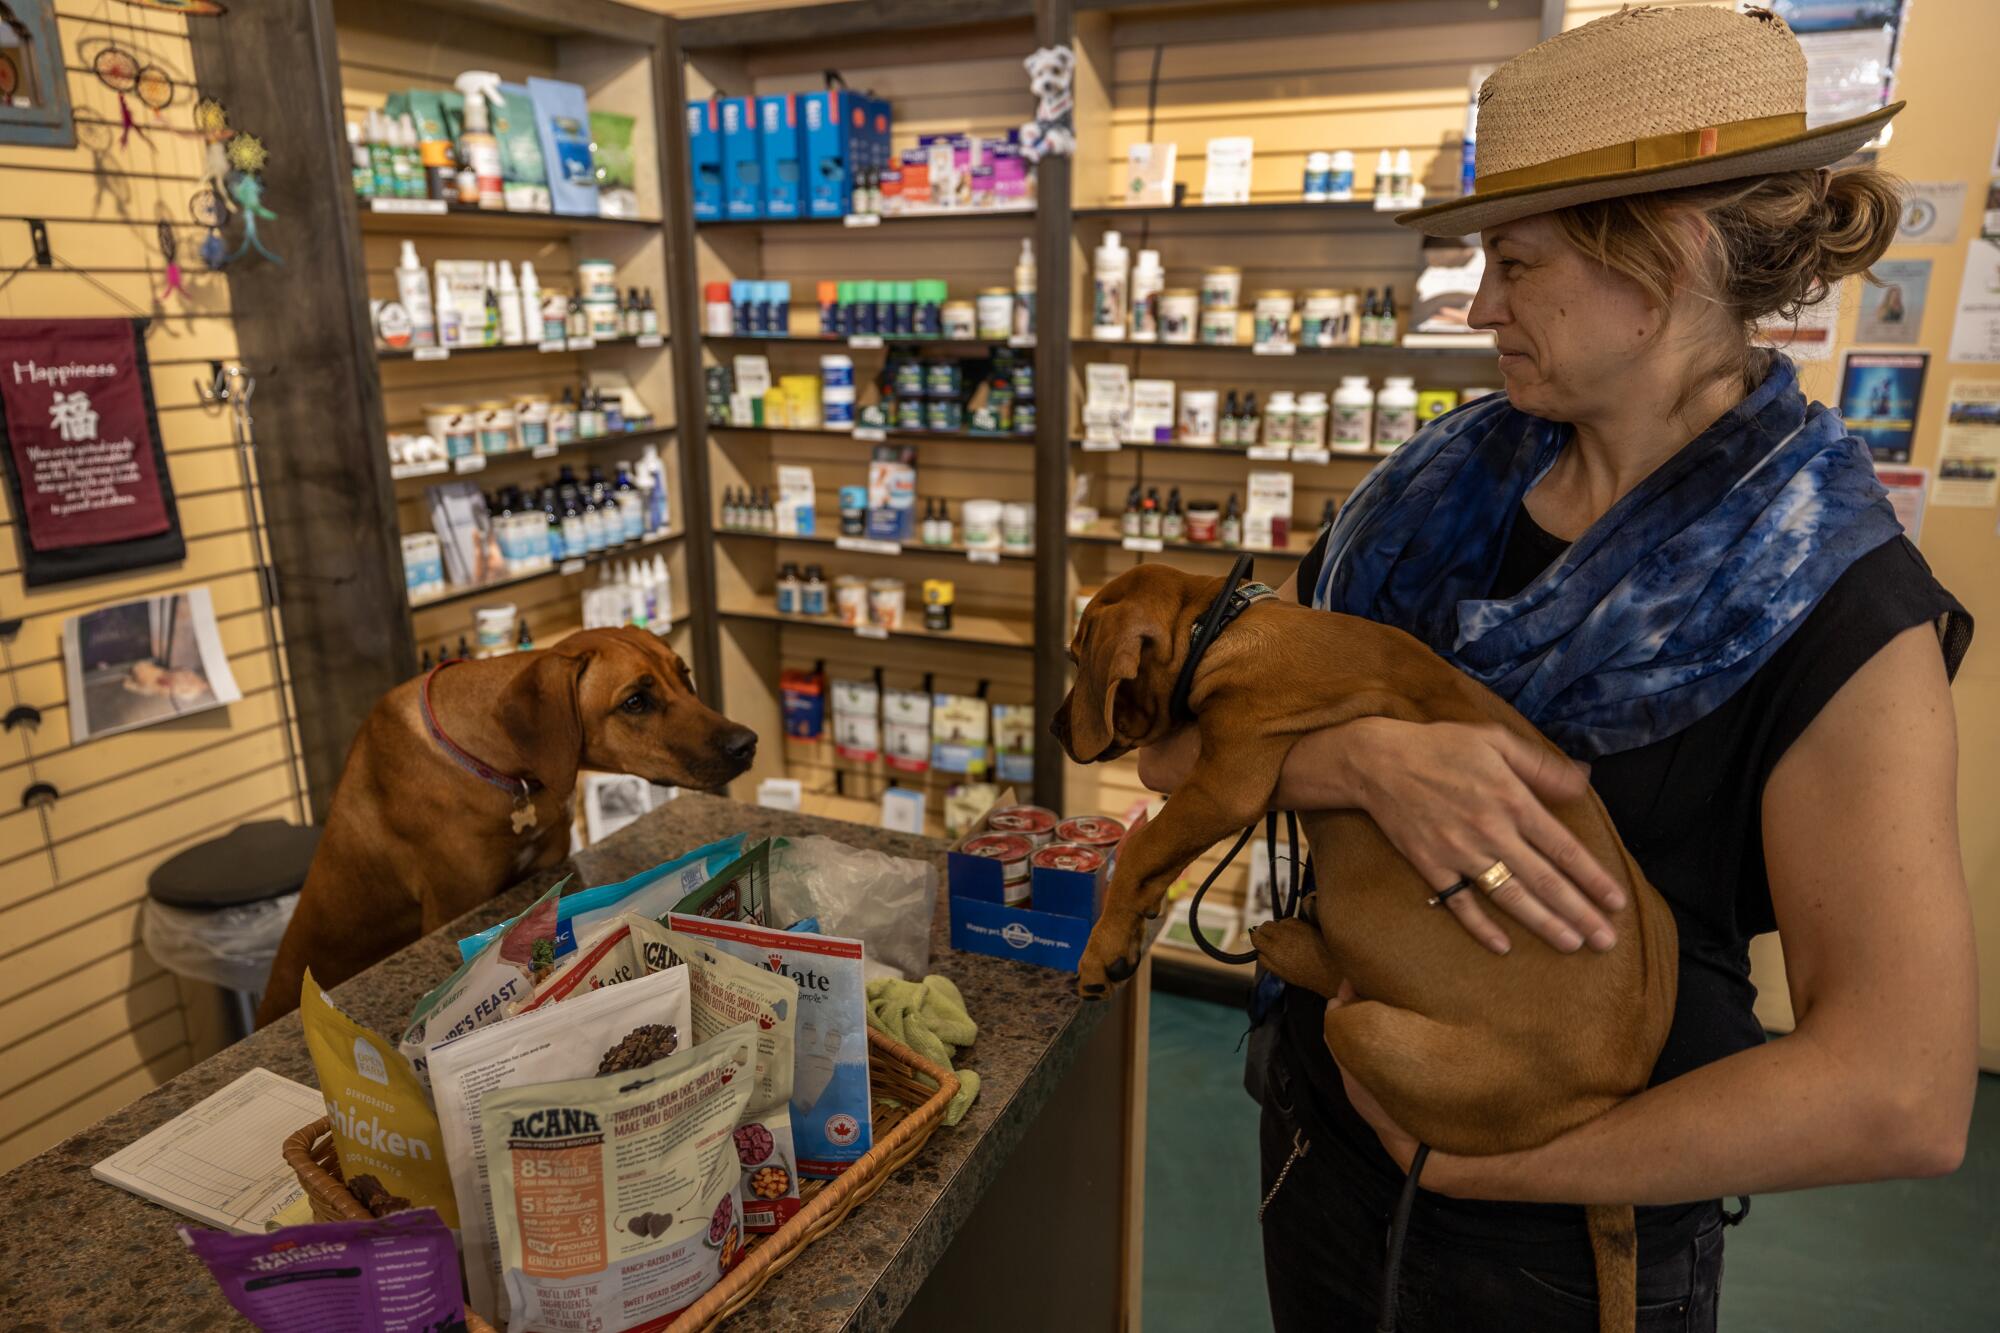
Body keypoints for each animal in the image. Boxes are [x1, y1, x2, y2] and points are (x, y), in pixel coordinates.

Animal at [250, 624, 752, 1024]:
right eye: (635, 701)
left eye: (684, 675)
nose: (748, 742)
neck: (505, 767)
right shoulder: (452, 903)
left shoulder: (550, 855)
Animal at [1056, 560, 1680, 1328]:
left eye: (1077, 659)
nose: (1055, 728)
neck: (1223, 623)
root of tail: (1613, 1093)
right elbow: (1152, 857)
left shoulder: (1228, 779)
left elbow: (1144, 845)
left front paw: (1101, 947)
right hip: (1657, 913)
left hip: (1366, 1029)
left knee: (1345, 993)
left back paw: (1290, 937)